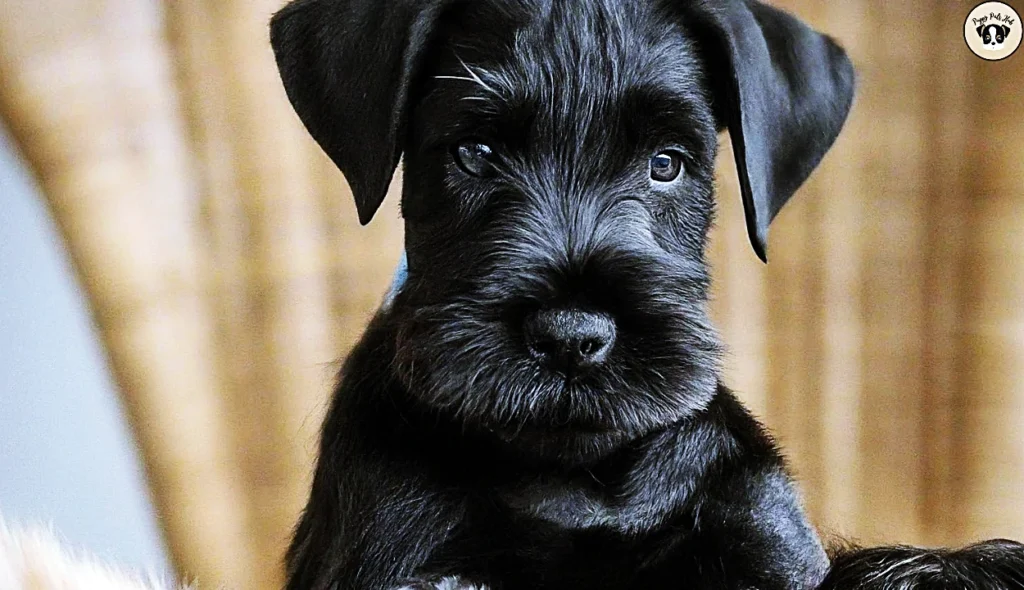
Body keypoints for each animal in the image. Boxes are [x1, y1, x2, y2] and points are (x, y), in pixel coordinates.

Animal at [274, 1, 1024, 590]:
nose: (571, 336)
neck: (576, 477)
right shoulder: (402, 560)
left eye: (666, 163)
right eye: (474, 153)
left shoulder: (765, 542)